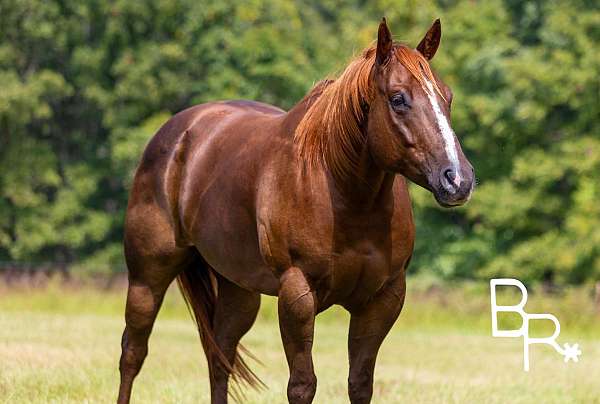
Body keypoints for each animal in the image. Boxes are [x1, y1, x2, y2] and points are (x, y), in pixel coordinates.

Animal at [117, 17, 474, 404]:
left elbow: (360, 383)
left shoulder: (383, 299)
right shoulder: (297, 294)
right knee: (133, 352)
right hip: (147, 277)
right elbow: (302, 386)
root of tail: (177, 133)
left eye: (447, 97)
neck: (345, 196)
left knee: (220, 354)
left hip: (238, 288)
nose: (458, 179)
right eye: (398, 98)